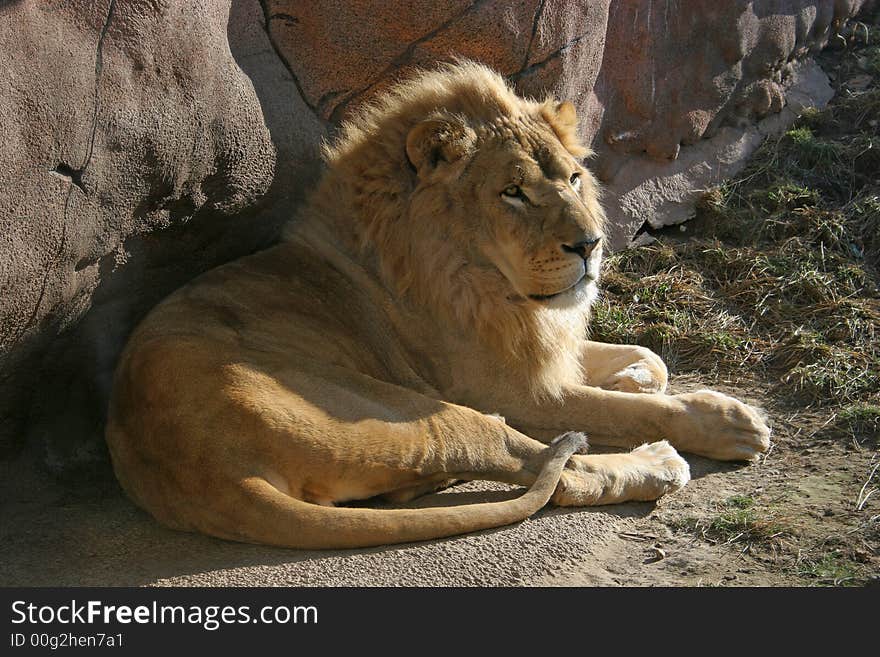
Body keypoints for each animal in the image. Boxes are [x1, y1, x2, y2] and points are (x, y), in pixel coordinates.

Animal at [105, 61, 768, 544]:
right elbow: (627, 410)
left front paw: (634, 375)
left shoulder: (533, 344)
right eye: (514, 192)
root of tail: (211, 474)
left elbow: (645, 356)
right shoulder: (515, 390)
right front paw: (725, 421)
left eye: (574, 179)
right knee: (557, 471)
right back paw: (659, 464)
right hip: (425, 410)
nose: (591, 245)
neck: (488, 286)